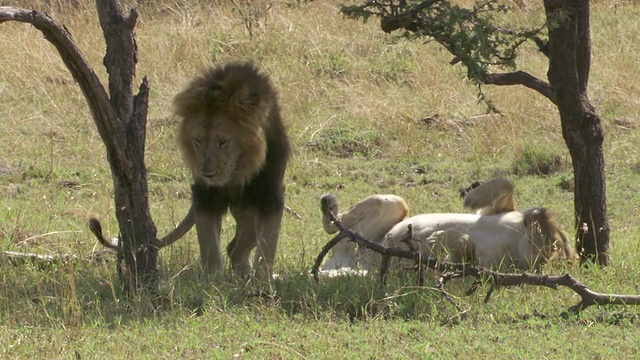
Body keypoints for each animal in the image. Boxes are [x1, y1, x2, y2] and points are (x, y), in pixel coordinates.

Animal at [159, 61, 292, 278]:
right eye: (197, 141)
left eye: (223, 142)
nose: (207, 174)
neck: (237, 175)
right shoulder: (206, 197)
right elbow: (210, 246)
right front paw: (212, 280)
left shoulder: (269, 195)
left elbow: (266, 247)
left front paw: (262, 279)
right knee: (234, 243)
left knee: (241, 241)